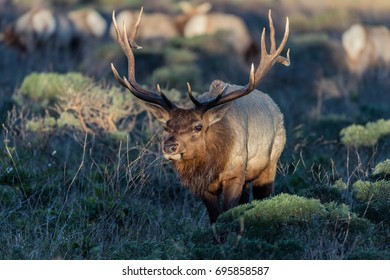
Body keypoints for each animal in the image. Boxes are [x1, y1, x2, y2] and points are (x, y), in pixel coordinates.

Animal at [109, 7, 290, 224]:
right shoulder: (202, 188)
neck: (211, 166)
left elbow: (226, 213)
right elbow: (214, 217)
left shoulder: (235, 174)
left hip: (270, 164)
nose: (170, 146)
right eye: (166, 126)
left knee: (264, 194)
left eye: (198, 127)